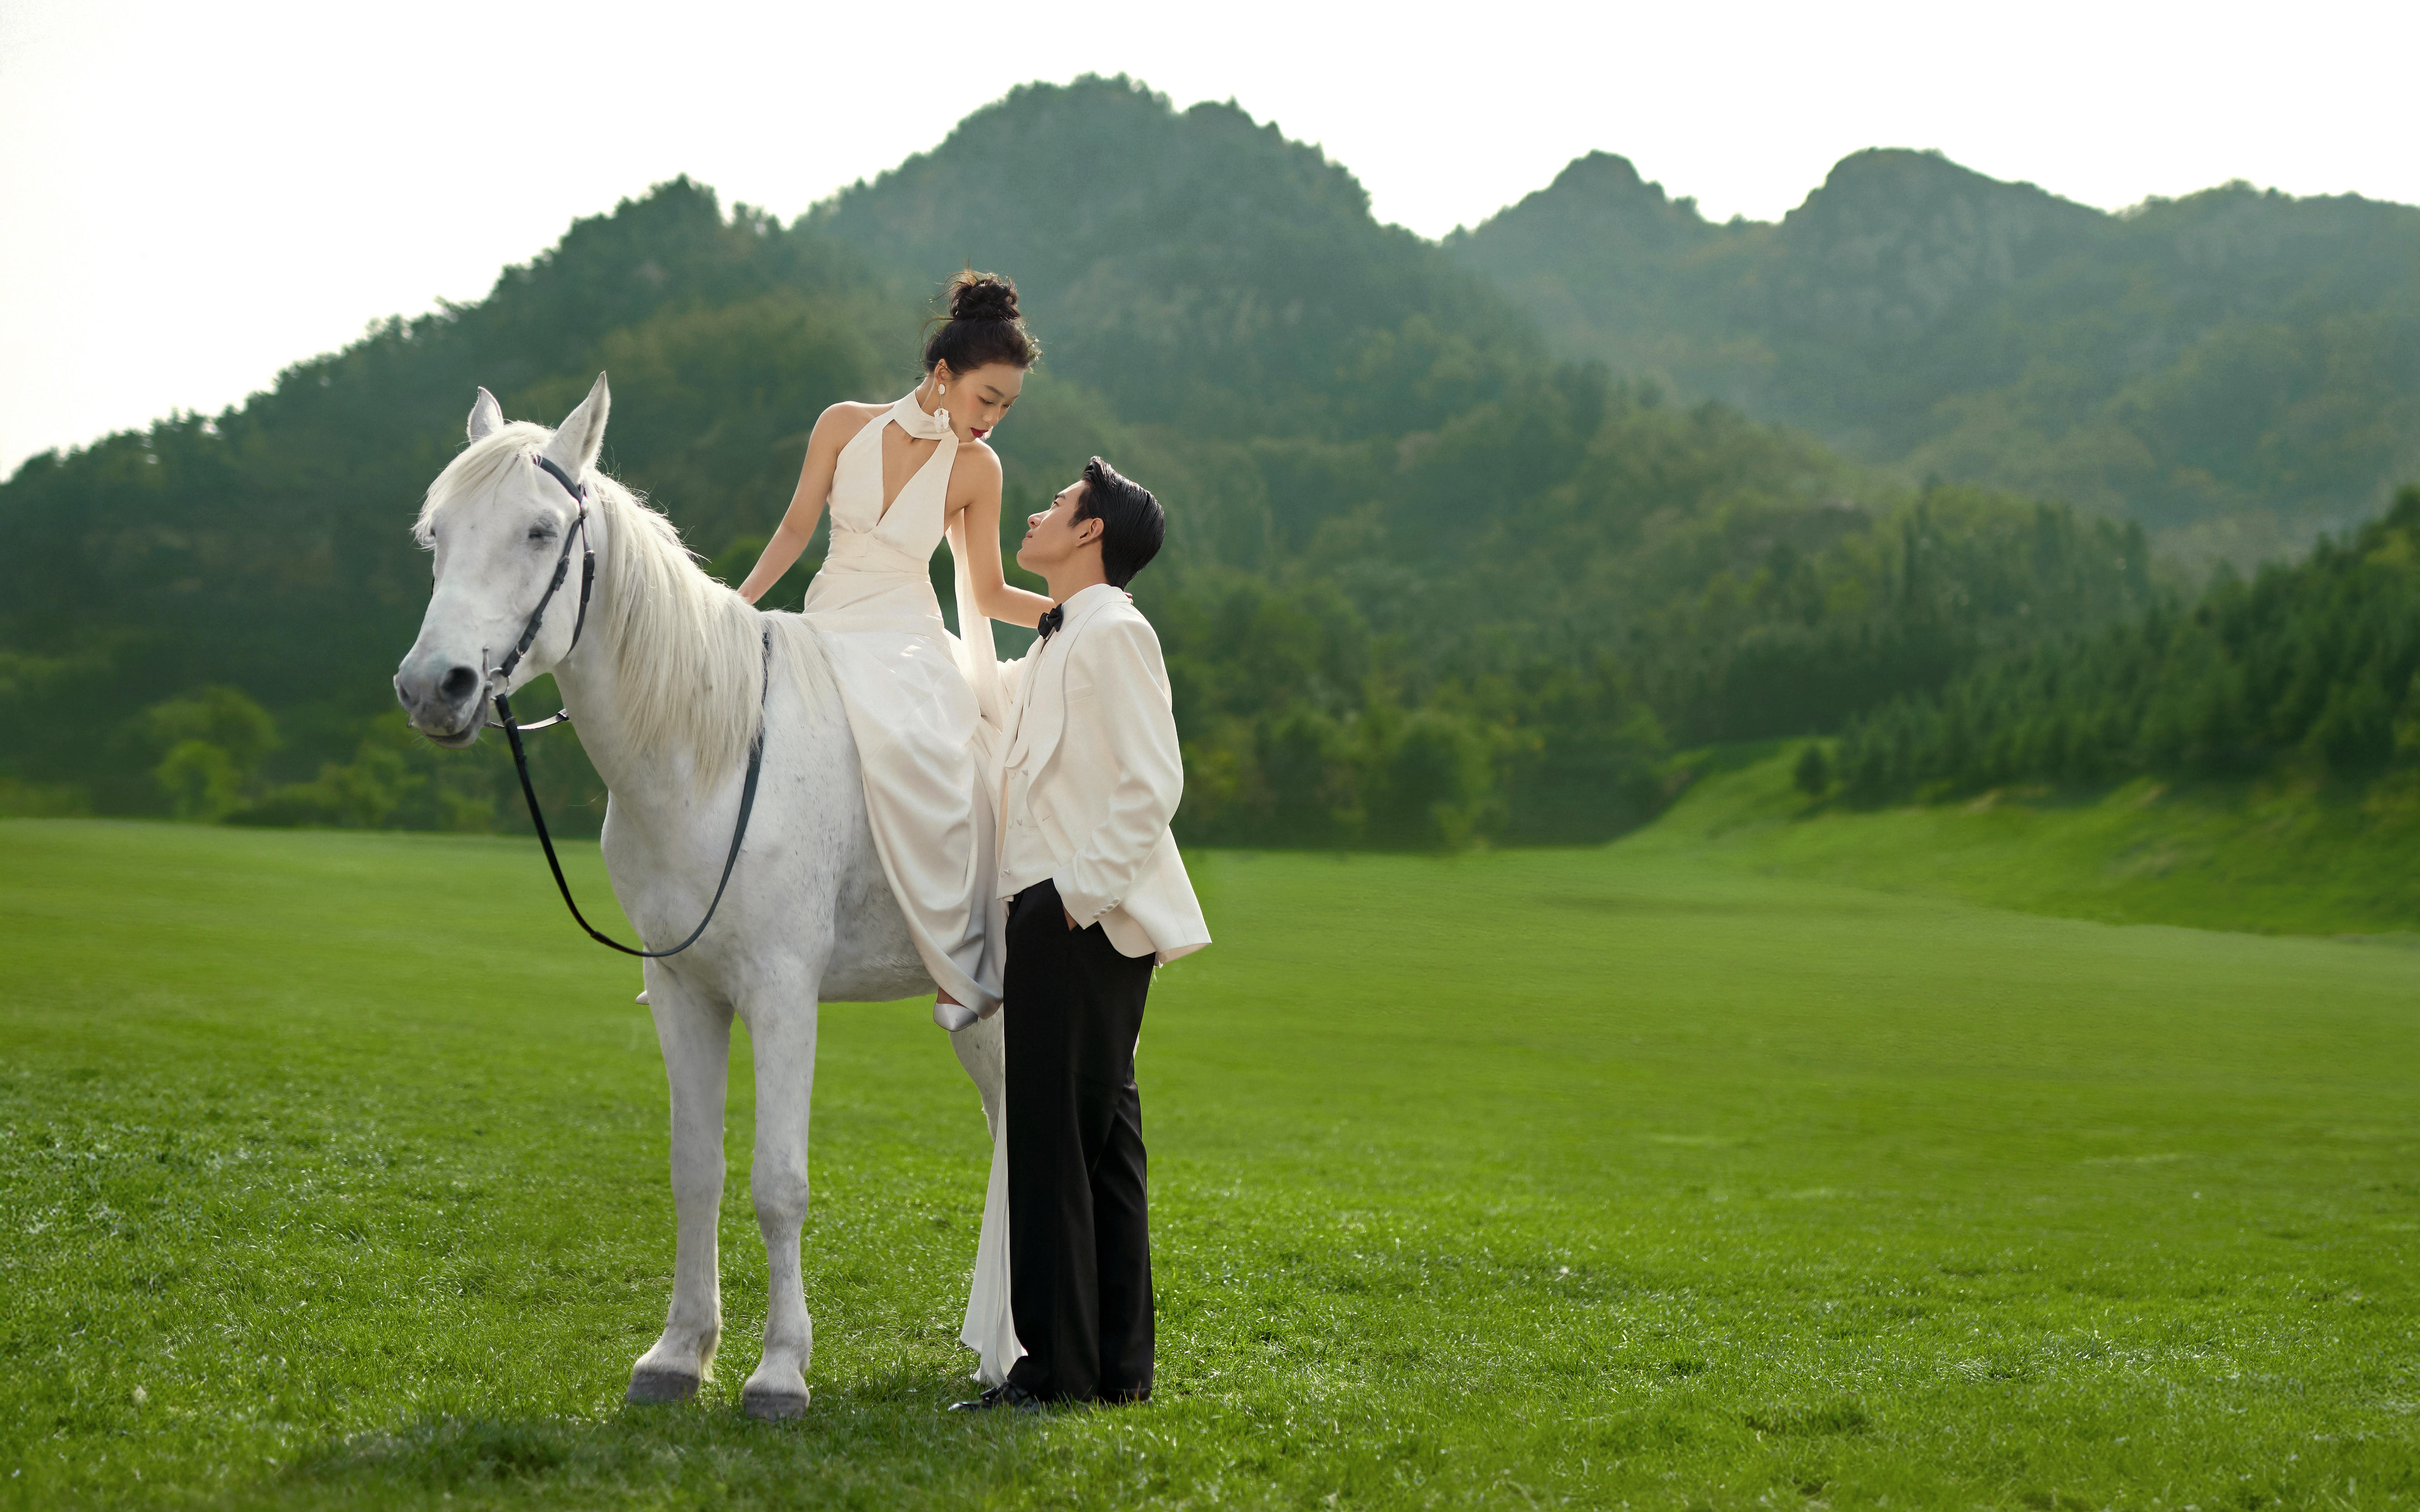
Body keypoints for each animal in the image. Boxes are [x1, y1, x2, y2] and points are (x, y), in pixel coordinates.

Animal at [397, 375, 1002, 1413]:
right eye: (437, 535)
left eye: (540, 531)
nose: (436, 686)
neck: (708, 756)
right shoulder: (683, 993)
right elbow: (696, 1171)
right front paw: (680, 1354)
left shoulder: (783, 995)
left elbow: (778, 1182)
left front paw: (780, 1369)